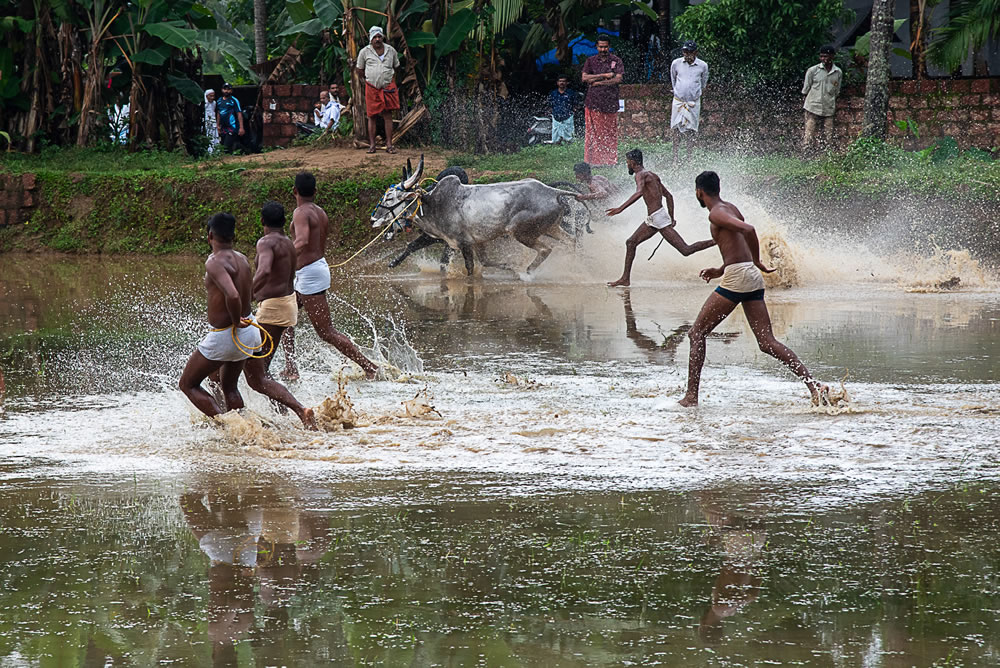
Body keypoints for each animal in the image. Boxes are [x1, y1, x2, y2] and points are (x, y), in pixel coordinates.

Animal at [374, 155, 580, 276]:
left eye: (390, 197)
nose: (373, 219)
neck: (433, 204)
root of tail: (553, 192)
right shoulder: (476, 242)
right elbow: (485, 261)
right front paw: (509, 267)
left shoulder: (462, 243)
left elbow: (469, 268)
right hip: (552, 228)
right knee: (571, 242)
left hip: (522, 232)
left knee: (546, 249)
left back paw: (528, 272)